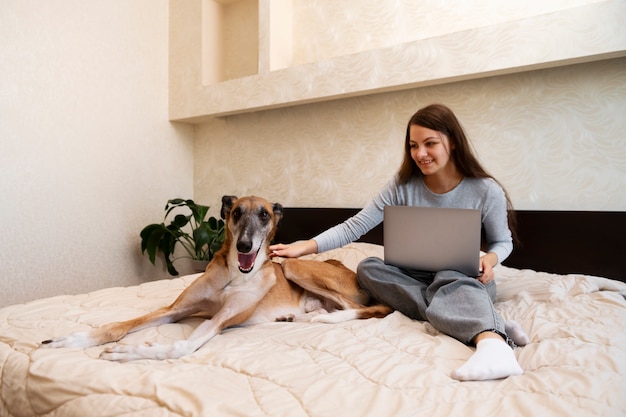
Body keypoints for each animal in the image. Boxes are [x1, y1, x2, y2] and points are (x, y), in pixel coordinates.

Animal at [40, 195, 390, 360]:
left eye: (264, 214)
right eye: (236, 213)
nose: (245, 245)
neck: (233, 276)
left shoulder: (221, 320)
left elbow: (181, 347)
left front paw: (131, 352)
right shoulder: (175, 310)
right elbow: (118, 326)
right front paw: (72, 340)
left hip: (295, 267)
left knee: (371, 309)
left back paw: (323, 319)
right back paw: (299, 317)